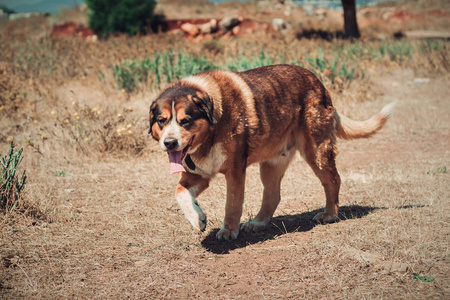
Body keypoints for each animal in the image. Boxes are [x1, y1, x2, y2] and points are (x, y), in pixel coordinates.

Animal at [149, 64, 394, 240]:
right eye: (162, 121)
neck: (212, 128)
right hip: (271, 164)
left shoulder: (235, 171)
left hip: (316, 151)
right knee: (273, 194)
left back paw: (330, 214)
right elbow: (180, 193)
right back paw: (258, 223)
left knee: (333, 180)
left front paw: (228, 230)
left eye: (186, 121)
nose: (169, 143)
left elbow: (232, 203)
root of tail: (319, 83)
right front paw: (197, 218)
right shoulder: (197, 175)